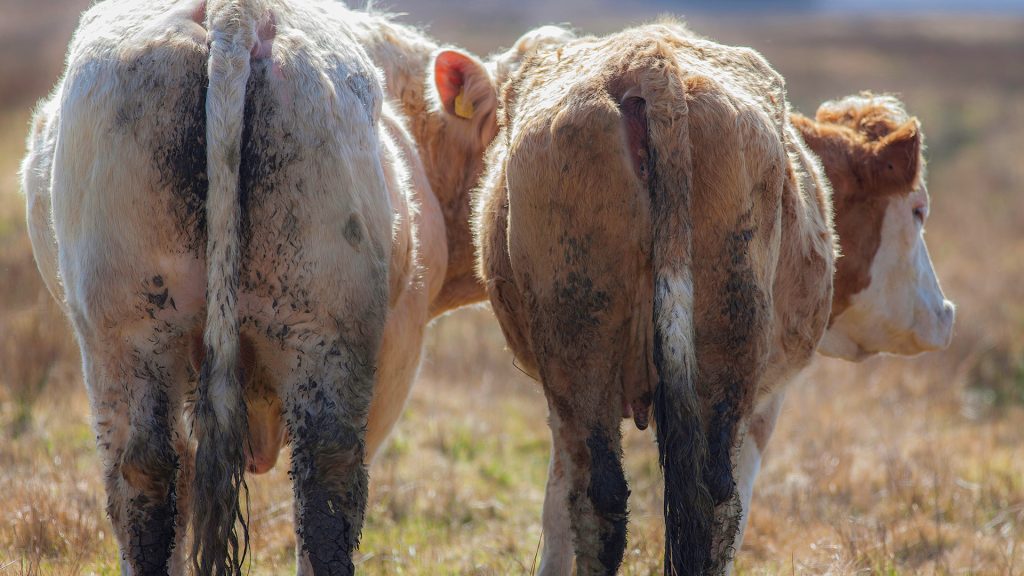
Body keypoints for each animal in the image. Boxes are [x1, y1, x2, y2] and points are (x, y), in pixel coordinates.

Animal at [18, 0, 502, 573]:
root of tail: (235, 15)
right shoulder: (399, 351)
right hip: (322, 337)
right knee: (326, 488)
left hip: (129, 336)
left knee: (148, 478)